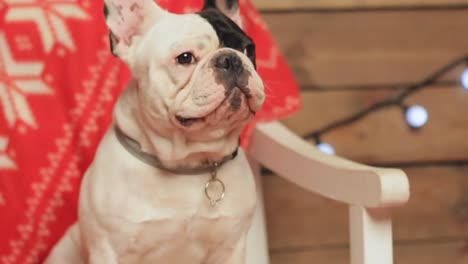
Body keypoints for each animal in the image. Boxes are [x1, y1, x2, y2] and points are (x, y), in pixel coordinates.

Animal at [45, 0, 266, 262]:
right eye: (185, 58)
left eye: (249, 49)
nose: (231, 59)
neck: (188, 162)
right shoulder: (108, 249)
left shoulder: (230, 248)